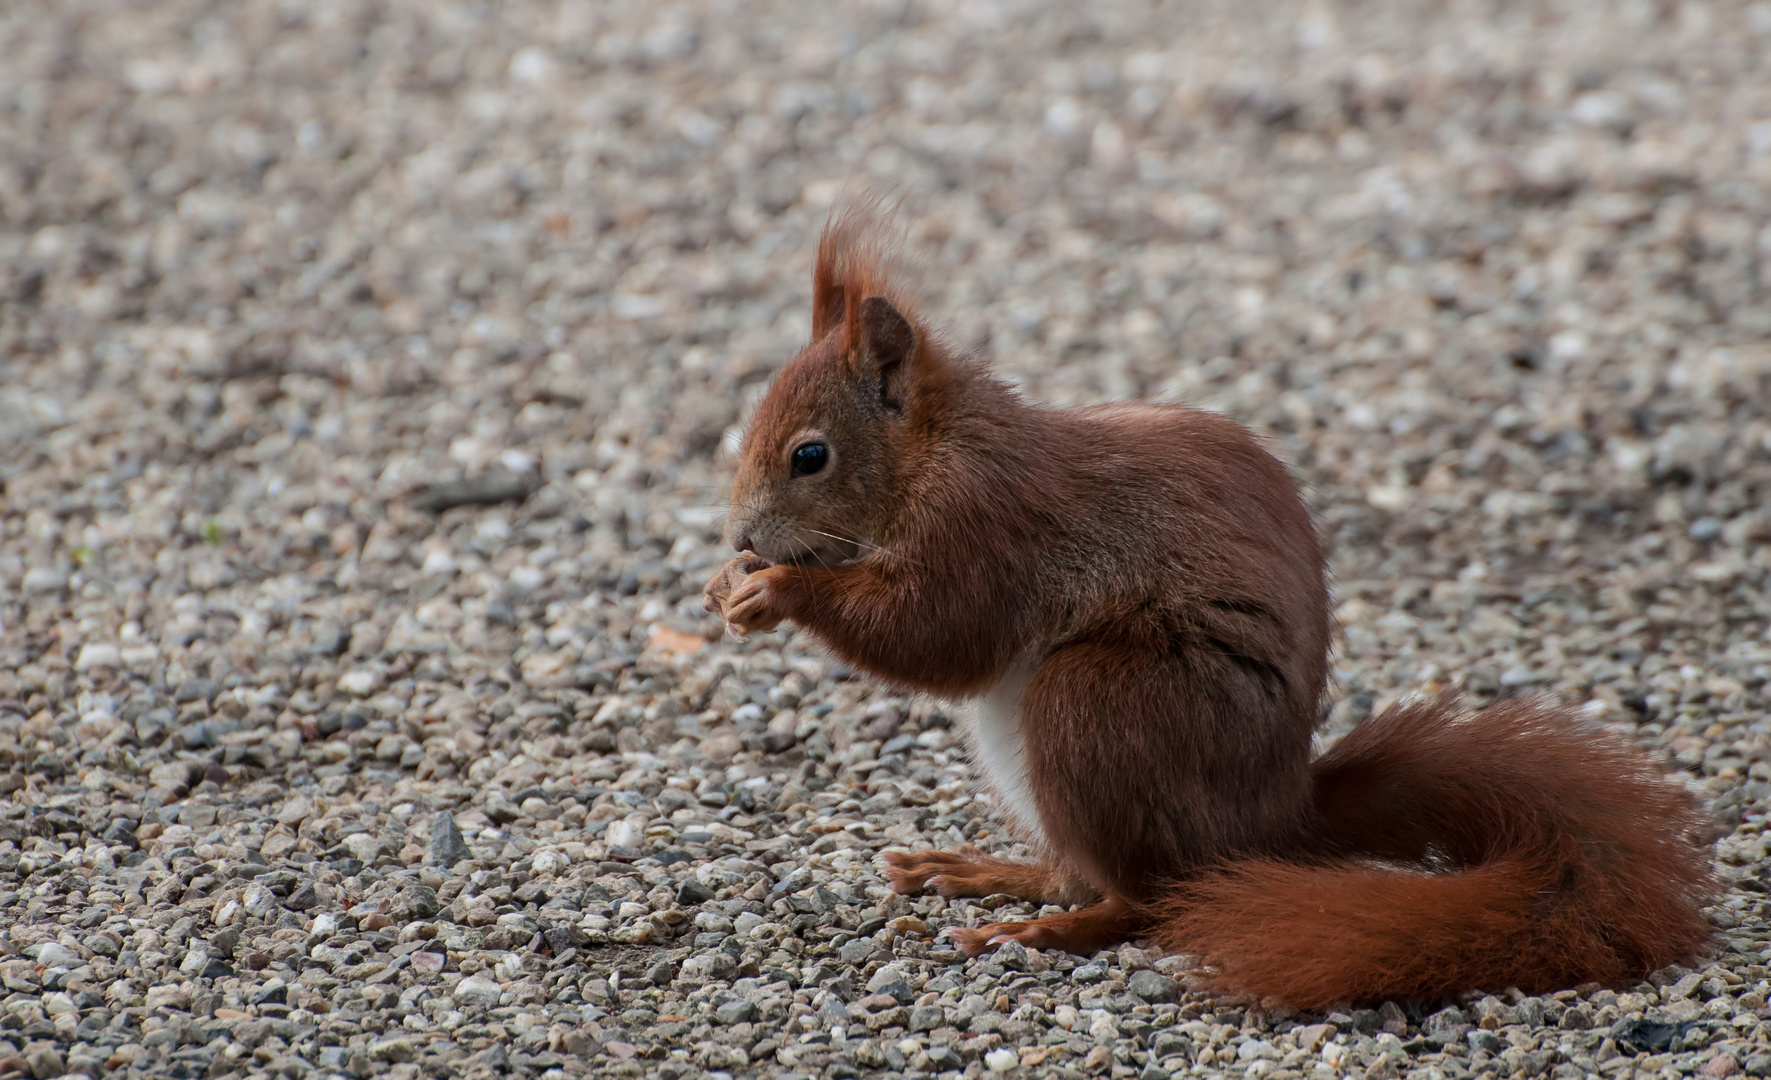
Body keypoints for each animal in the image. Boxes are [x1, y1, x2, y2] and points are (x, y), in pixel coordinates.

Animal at [704, 200, 1714, 998]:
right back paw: (992, 875)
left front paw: (778, 590)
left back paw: (1048, 929)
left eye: (809, 455)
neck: (933, 447)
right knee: (1082, 872)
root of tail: (1271, 822)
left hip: (1100, 704)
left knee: (1146, 897)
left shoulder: (986, 524)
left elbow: (940, 634)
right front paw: (728, 585)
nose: (741, 538)